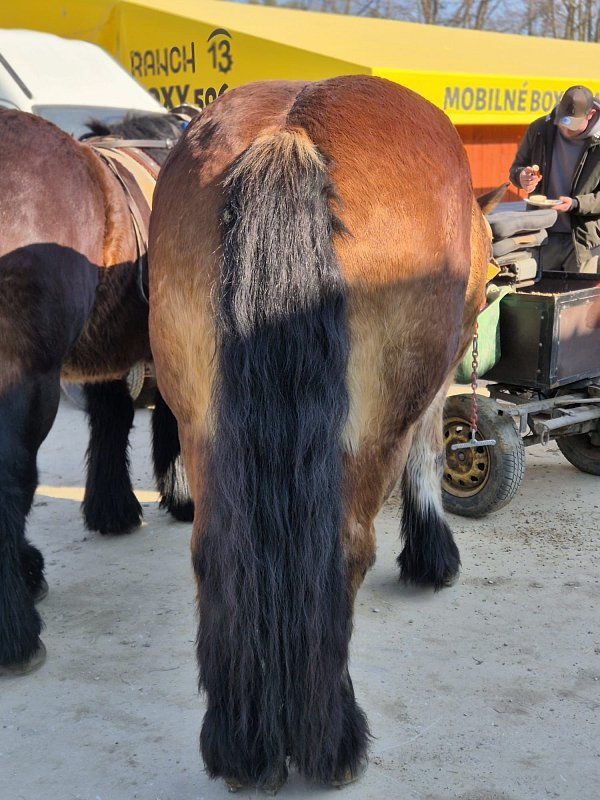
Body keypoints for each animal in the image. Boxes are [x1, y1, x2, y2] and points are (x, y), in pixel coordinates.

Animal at [148, 75, 493, 792]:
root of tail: (290, 134)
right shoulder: (446, 363)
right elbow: (428, 449)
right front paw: (432, 553)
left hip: (202, 420)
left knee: (215, 553)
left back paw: (240, 746)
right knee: (345, 549)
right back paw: (334, 742)